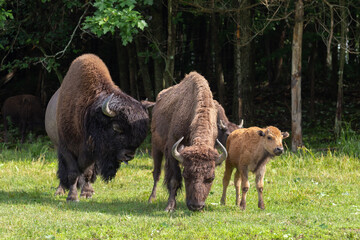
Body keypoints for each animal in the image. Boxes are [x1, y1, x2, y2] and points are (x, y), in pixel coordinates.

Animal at [55, 53, 153, 202]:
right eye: (116, 128)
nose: (129, 155)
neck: (89, 112)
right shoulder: (67, 148)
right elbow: (72, 172)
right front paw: (72, 197)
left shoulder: (93, 153)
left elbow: (87, 173)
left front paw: (86, 193)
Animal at [148, 71, 226, 212]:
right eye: (186, 175)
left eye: (211, 178)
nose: (196, 206)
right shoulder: (171, 150)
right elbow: (174, 180)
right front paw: (169, 207)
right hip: (156, 147)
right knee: (156, 173)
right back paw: (151, 199)